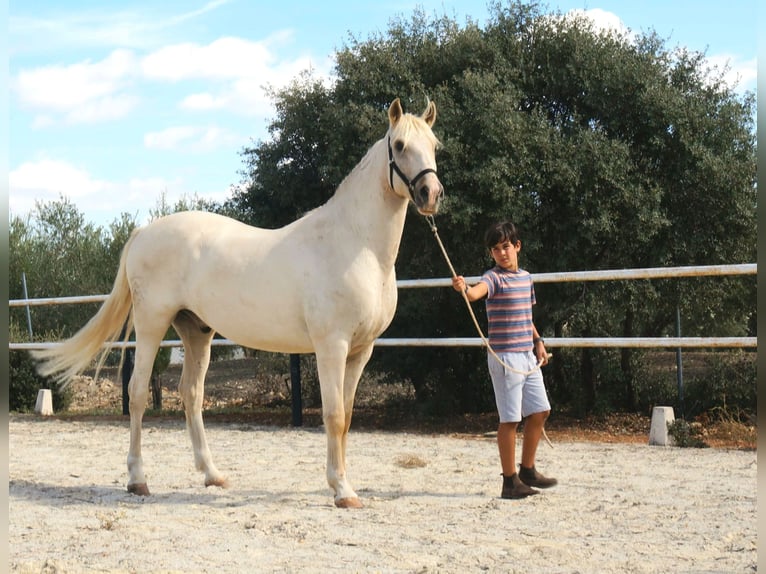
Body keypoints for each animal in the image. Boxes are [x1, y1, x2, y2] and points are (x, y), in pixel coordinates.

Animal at [34, 99, 444, 508]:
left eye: (434, 145)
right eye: (400, 146)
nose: (431, 194)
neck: (355, 245)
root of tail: (144, 232)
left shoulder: (361, 351)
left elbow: (347, 418)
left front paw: (344, 486)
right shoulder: (332, 347)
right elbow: (334, 416)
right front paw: (342, 490)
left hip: (196, 331)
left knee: (191, 394)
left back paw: (212, 474)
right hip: (152, 324)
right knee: (137, 394)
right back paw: (138, 479)